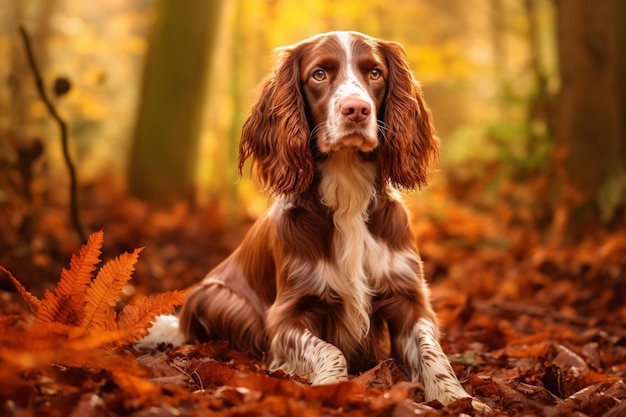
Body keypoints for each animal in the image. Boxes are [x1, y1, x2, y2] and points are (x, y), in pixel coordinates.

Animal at [168, 30, 486, 412]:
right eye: (319, 74)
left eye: (375, 73)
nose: (357, 109)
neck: (347, 194)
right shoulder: (287, 314)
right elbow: (330, 351)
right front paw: (327, 389)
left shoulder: (408, 297)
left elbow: (432, 351)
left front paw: (459, 399)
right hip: (213, 297)